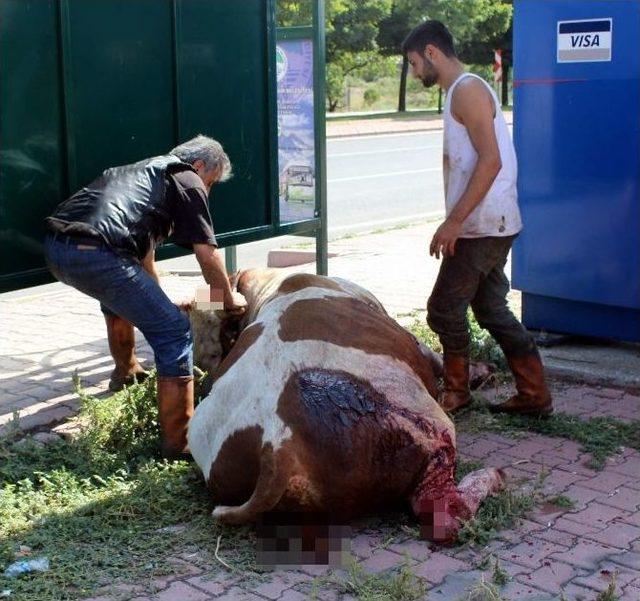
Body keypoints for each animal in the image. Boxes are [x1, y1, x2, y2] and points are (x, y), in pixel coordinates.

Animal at [188, 270, 502, 540]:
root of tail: (276, 446)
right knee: (442, 509)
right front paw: (481, 372)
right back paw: (494, 476)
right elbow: (433, 356)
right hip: (421, 422)